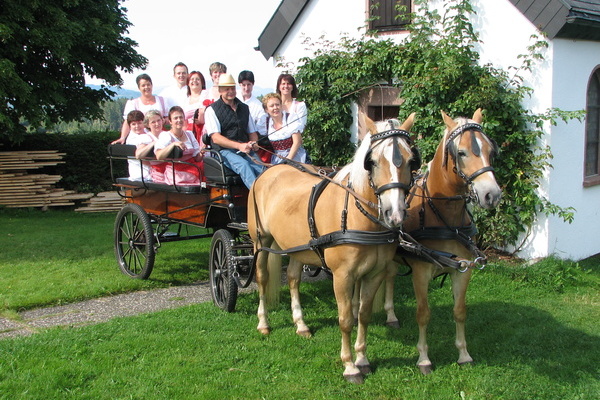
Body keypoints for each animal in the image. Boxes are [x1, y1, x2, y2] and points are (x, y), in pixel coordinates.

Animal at [246, 114, 420, 382]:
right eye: (372, 162)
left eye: (412, 161)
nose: (395, 213)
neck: (359, 217)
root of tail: (269, 172)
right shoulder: (342, 276)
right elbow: (346, 319)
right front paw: (349, 366)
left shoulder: (374, 274)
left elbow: (363, 316)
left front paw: (363, 359)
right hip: (261, 242)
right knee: (263, 278)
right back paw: (263, 323)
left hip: (297, 246)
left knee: (294, 278)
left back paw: (301, 324)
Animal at [386, 108, 504, 376]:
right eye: (461, 152)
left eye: (491, 150)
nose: (492, 195)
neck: (442, 214)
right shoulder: (420, 272)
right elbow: (423, 314)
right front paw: (423, 358)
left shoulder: (463, 269)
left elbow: (460, 311)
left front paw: (463, 354)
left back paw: (391, 315)